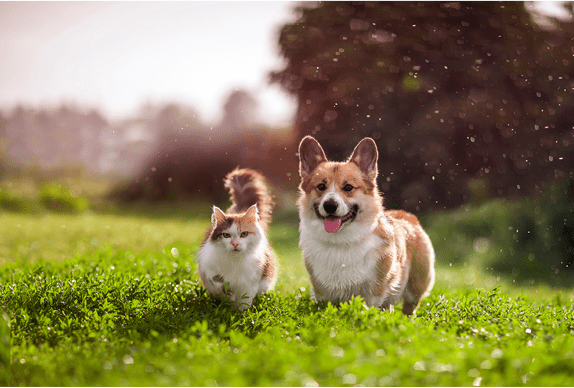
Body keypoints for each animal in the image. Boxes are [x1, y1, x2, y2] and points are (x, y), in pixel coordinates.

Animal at [198, 168, 280, 310]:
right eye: (226, 235)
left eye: (244, 234)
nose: (235, 244)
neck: (235, 261)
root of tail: (239, 211)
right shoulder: (207, 267)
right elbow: (219, 282)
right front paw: (228, 300)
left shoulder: (251, 279)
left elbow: (244, 300)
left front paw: (240, 313)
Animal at [296, 136, 436, 316]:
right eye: (321, 186)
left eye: (348, 187)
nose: (330, 205)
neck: (340, 241)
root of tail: (407, 216)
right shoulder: (321, 290)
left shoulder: (375, 288)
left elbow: (369, 307)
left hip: (415, 286)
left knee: (409, 308)